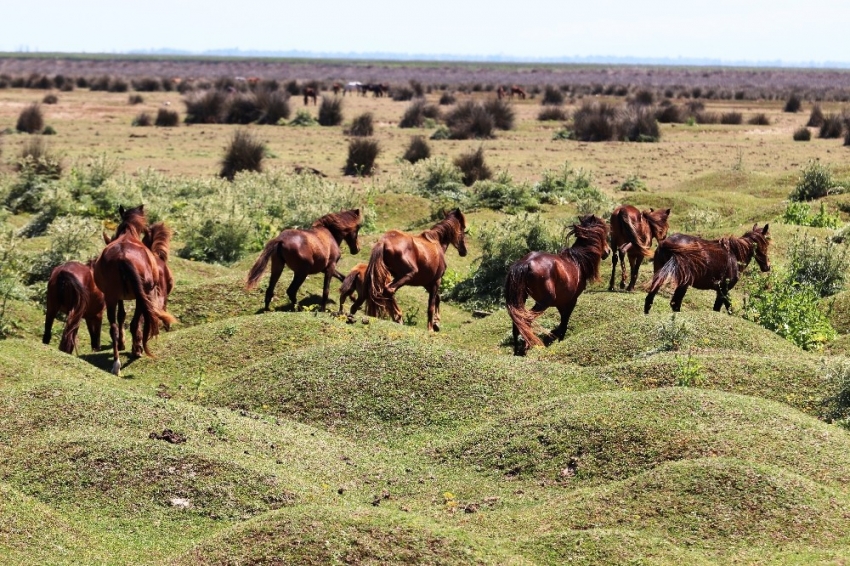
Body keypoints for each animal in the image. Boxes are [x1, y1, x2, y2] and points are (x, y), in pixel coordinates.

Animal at [93, 205, 176, 378]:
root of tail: (123, 256)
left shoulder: (119, 297)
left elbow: (121, 315)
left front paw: (123, 343)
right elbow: (135, 319)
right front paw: (135, 346)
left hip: (111, 296)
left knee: (113, 327)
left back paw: (116, 364)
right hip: (140, 294)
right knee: (135, 322)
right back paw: (135, 351)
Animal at [504, 215, 608, 358]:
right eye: (604, 232)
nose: (608, 252)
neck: (577, 261)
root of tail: (525, 263)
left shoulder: (560, 302)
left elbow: (562, 322)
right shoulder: (571, 300)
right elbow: (564, 323)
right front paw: (560, 341)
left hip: (522, 300)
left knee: (518, 323)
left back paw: (517, 352)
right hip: (543, 302)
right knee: (527, 321)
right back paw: (527, 348)